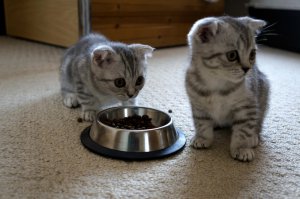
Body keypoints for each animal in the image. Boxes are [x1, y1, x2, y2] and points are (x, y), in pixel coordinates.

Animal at [185, 15, 270, 162]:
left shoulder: (247, 106)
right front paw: (202, 138)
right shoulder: (198, 105)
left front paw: (242, 148)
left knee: (258, 121)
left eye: (252, 54)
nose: (247, 68)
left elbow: (243, 130)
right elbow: (201, 123)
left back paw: (254, 137)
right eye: (232, 55)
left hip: (263, 92)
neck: (215, 82)